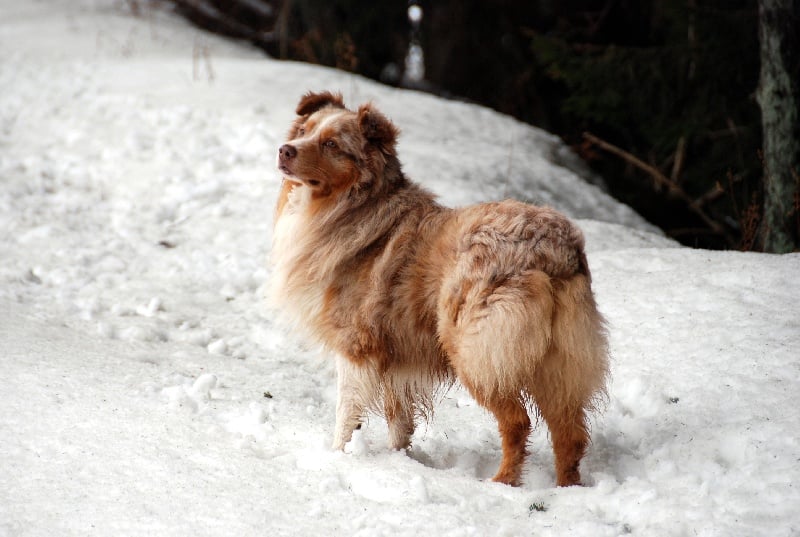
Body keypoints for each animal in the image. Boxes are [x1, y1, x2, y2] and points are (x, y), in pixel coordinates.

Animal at [271, 91, 609, 487]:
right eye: (304, 130)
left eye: (331, 144)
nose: (284, 150)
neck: (353, 207)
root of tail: (553, 247)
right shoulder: (394, 359)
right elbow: (399, 420)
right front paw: (400, 461)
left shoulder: (356, 346)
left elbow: (347, 415)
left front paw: (338, 458)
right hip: (558, 359)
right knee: (570, 431)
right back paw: (566, 487)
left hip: (476, 349)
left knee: (517, 421)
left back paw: (502, 483)